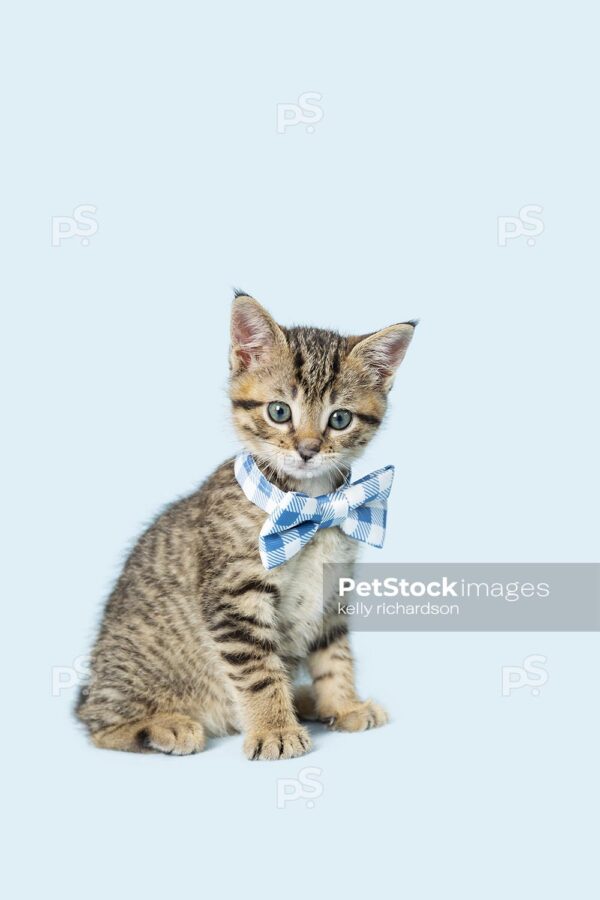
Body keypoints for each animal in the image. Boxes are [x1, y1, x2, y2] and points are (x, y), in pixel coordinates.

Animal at [76, 292, 418, 756]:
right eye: (279, 411)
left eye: (339, 419)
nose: (308, 449)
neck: (312, 504)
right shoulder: (234, 596)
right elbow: (258, 672)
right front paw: (275, 729)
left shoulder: (332, 596)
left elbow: (334, 656)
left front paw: (343, 704)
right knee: (99, 724)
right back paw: (166, 725)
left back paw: (306, 699)